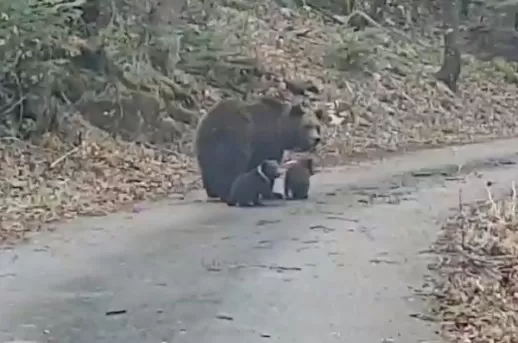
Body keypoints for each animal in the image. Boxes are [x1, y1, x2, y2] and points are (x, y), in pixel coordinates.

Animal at [196, 95, 324, 202]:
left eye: (317, 126)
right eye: (307, 126)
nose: (316, 139)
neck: (282, 130)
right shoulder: (267, 142)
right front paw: (273, 193)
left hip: (205, 146)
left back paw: (213, 192)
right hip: (235, 137)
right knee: (231, 165)